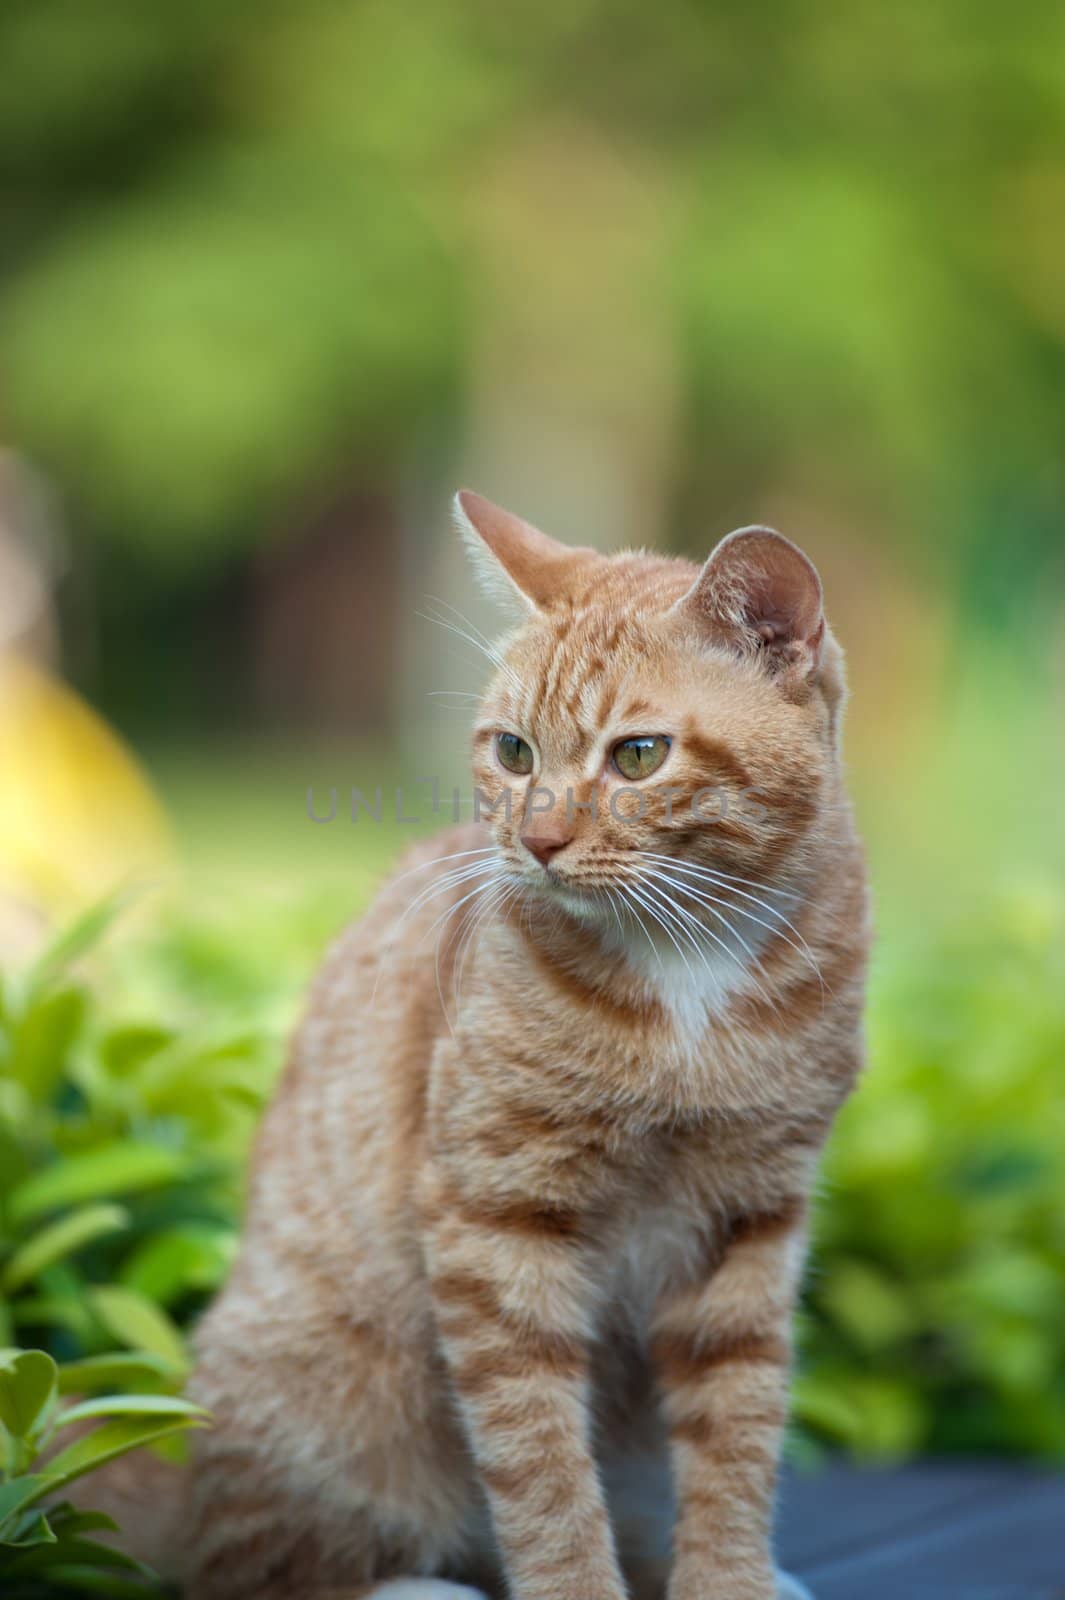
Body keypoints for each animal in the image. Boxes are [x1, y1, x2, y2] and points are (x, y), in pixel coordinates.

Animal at [178, 489, 869, 1600]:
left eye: (638, 755)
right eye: (511, 752)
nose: (537, 840)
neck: (686, 969)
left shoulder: (747, 1223)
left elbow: (737, 1435)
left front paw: (728, 1576)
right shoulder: (494, 1221)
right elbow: (539, 1466)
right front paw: (578, 1581)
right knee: (259, 1561)